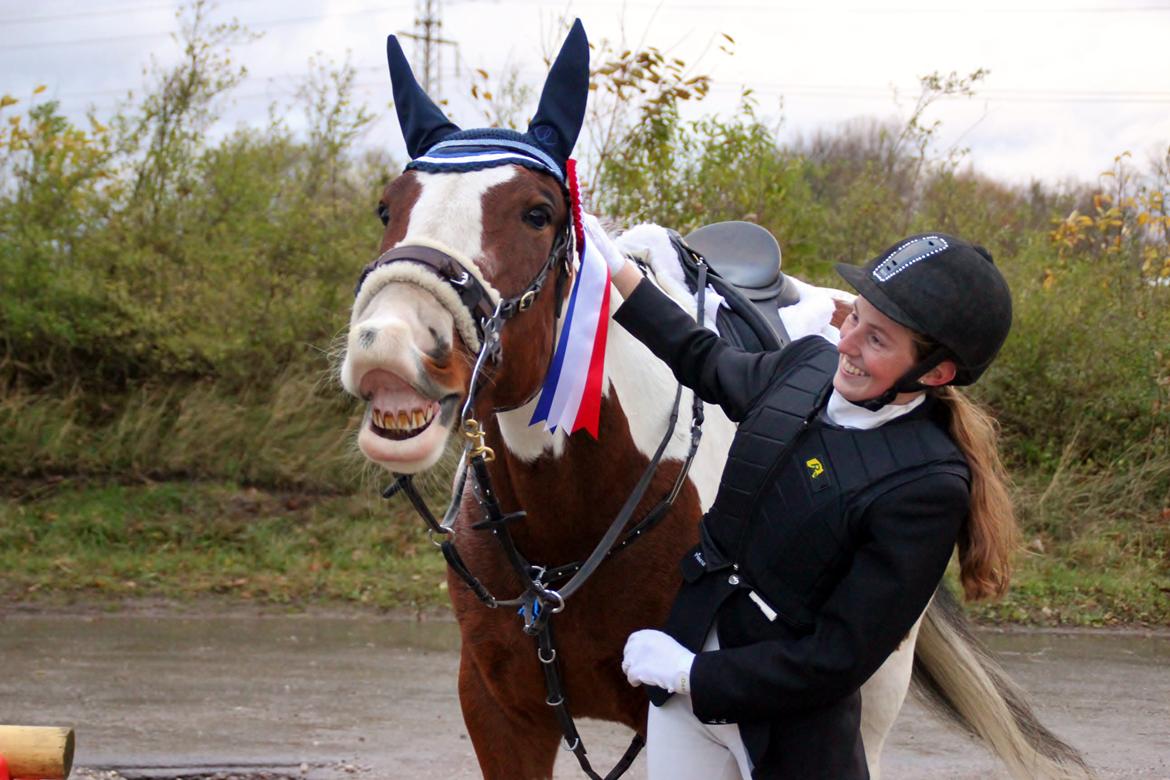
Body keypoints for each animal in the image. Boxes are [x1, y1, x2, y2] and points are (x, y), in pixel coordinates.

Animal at [334, 19, 1090, 780]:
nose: (387, 347)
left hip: (873, 691)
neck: (571, 520)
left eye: (538, 213)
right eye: (387, 206)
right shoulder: (500, 714)